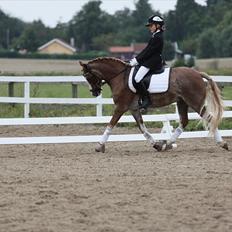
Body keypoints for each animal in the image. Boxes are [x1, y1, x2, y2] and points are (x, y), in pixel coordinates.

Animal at [80, 57, 228, 153]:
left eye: (87, 76)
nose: (95, 92)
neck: (119, 77)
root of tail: (197, 73)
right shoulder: (133, 109)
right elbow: (142, 128)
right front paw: (156, 144)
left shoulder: (121, 107)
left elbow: (110, 124)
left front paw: (99, 145)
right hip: (182, 102)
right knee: (184, 122)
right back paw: (167, 144)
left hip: (194, 101)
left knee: (210, 118)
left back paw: (222, 143)